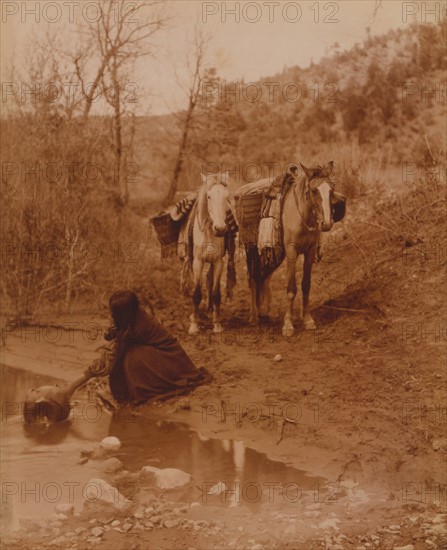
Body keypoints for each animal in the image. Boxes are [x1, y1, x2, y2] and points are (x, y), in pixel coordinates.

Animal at [189, 172, 231, 336]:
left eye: (226, 196)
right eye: (209, 196)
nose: (219, 229)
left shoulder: (218, 262)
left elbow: (216, 293)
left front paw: (217, 324)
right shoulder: (198, 262)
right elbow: (196, 293)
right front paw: (194, 325)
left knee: (209, 280)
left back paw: (210, 309)